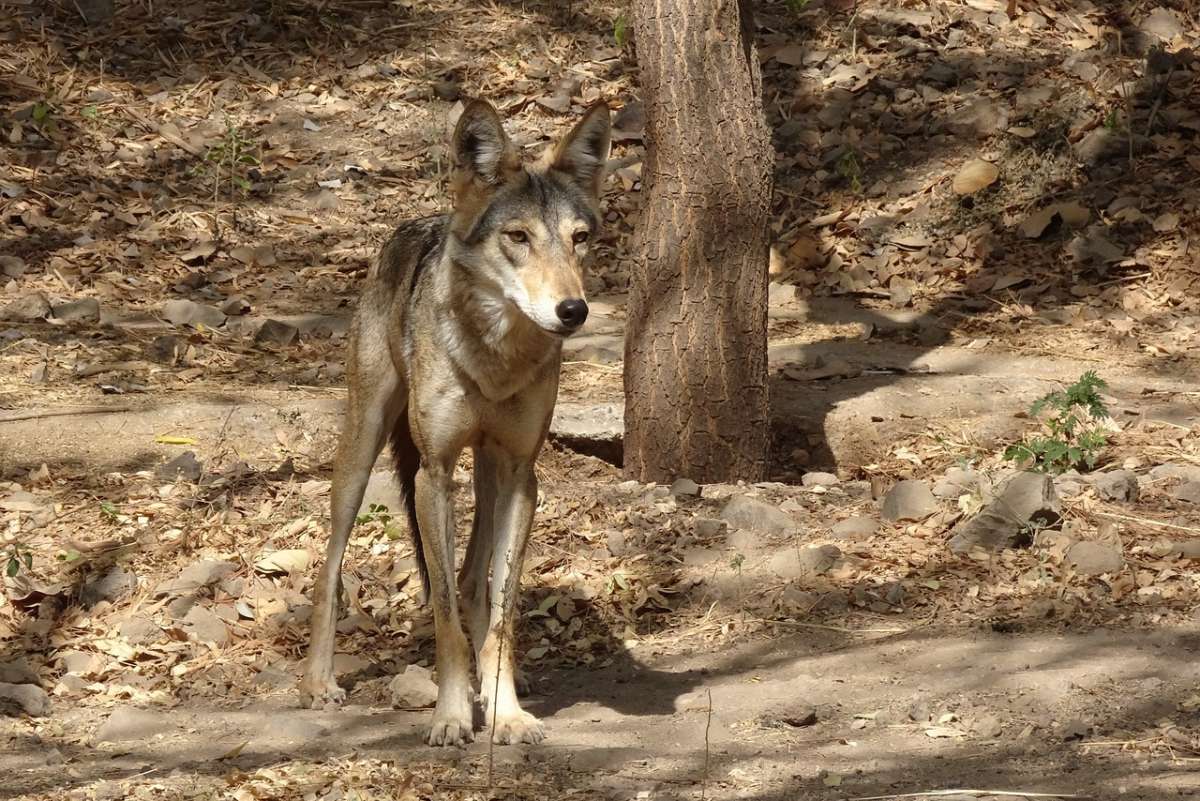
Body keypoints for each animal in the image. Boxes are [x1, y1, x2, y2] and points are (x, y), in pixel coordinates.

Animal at [298, 97, 614, 748]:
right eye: (518, 237)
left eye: (579, 240)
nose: (573, 310)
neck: (495, 356)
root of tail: (417, 223)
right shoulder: (434, 474)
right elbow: (443, 611)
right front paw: (449, 717)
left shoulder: (522, 474)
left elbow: (503, 606)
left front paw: (506, 711)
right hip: (360, 451)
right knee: (331, 568)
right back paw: (319, 683)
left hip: (490, 472)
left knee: (474, 578)